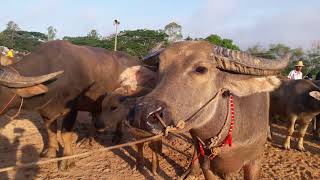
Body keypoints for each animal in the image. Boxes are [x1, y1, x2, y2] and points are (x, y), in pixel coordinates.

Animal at [0, 40, 140, 169]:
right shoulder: (45, 111)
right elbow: (50, 131)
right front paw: (50, 153)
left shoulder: (71, 109)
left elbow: (65, 134)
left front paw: (67, 160)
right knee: (95, 116)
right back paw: (88, 138)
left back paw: (117, 136)